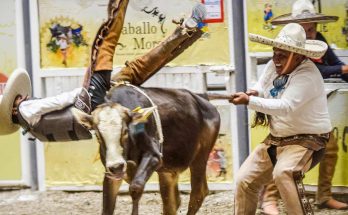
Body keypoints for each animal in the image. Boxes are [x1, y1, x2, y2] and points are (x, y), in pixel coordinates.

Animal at [73, 84, 220, 215]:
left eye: (125, 131)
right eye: (98, 135)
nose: (117, 166)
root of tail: (205, 102)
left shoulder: (154, 157)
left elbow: (135, 187)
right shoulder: (111, 173)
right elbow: (107, 206)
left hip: (200, 157)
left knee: (198, 193)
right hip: (168, 172)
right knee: (172, 203)